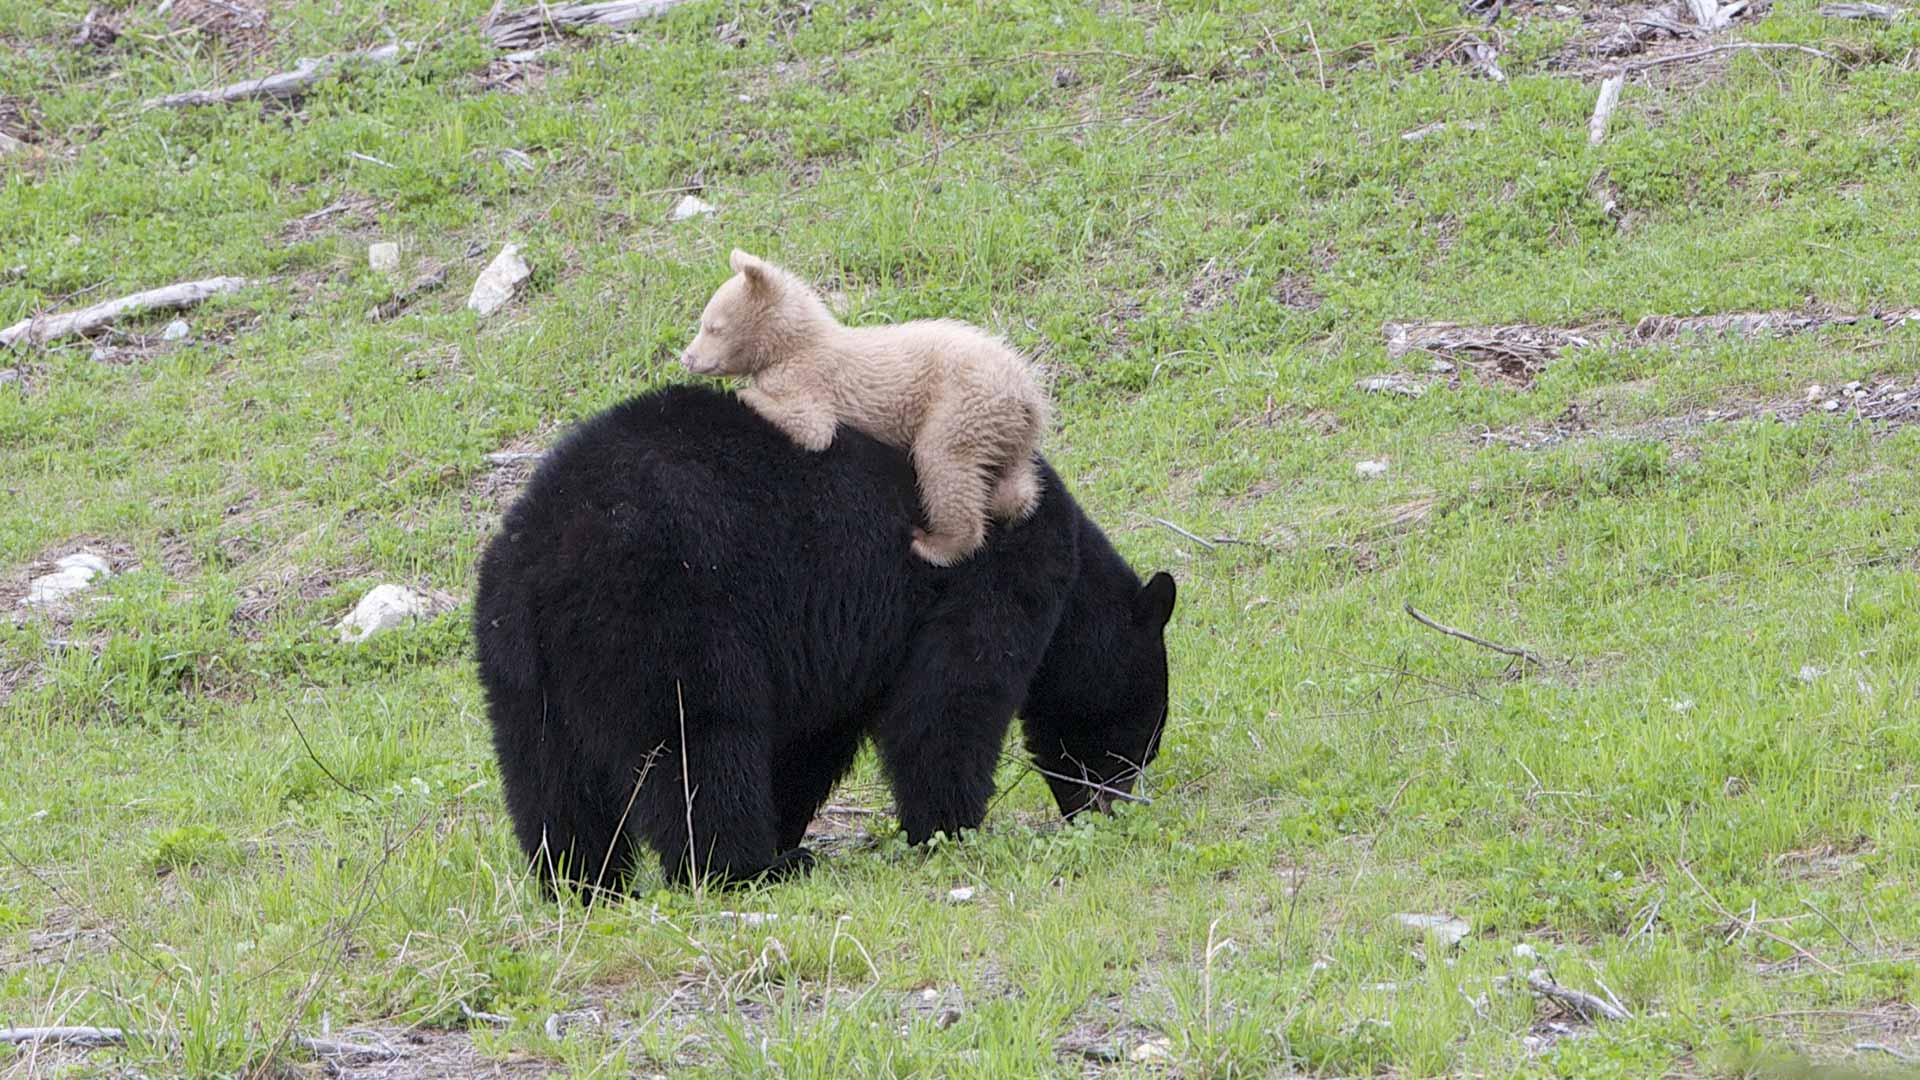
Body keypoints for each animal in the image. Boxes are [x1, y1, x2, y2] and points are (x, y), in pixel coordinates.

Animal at [473, 384, 1175, 893]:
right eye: (1141, 738)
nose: (1111, 806)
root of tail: (547, 559)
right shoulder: (986, 581)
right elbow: (948, 705)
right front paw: (952, 829)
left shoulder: (837, 652)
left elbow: (810, 741)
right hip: (667, 620)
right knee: (700, 747)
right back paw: (747, 870)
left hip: (519, 668)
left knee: (548, 778)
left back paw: (580, 883)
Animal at [679, 249, 1053, 568]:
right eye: (704, 322)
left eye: (712, 326)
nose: (687, 357)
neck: (794, 344)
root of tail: (1027, 392)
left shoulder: (809, 376)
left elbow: (813, 428)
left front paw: (747, 393)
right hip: (1007, 432)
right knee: (1017, 485)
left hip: (961, 406)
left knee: (943, 462)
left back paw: (935, 544)